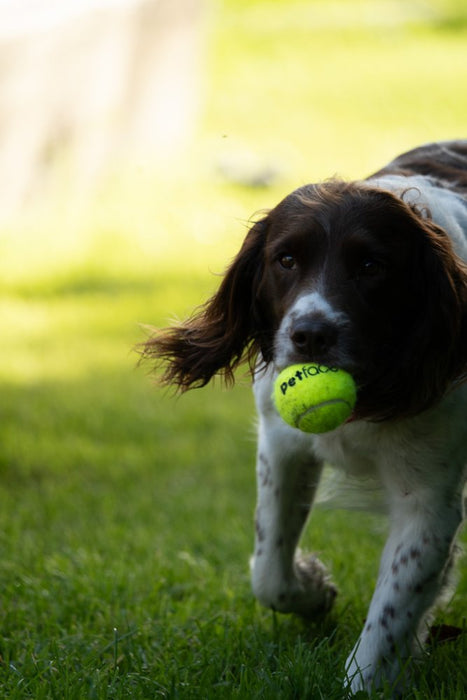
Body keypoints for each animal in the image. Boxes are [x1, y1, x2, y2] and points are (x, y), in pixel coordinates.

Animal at [143, 142, 467, 696]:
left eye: (371, 265)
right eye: (286, 259)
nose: (311, 334)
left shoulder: (428, 499)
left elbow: (392, 611)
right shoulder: (282, 445)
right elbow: (269, 569)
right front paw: (314, 590)